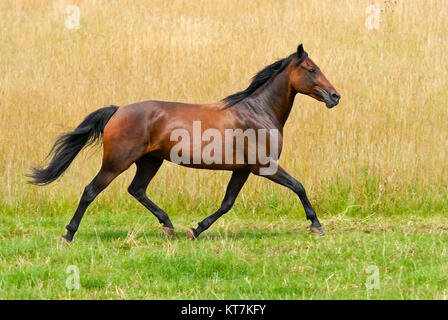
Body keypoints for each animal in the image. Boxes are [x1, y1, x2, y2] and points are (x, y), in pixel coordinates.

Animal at [28, 43, 340, 241]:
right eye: (311, 69)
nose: (335, 96)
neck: (257, 112)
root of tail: (118, 110)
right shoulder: (265, 166)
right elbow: (298, 186)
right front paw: (316, 225)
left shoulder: (242, 169)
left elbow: (227, 203)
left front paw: (195, 230)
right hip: (117, 161)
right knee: (90, 191)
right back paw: (68, 234)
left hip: (149, 161)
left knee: (136, 189)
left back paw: (169, 226)